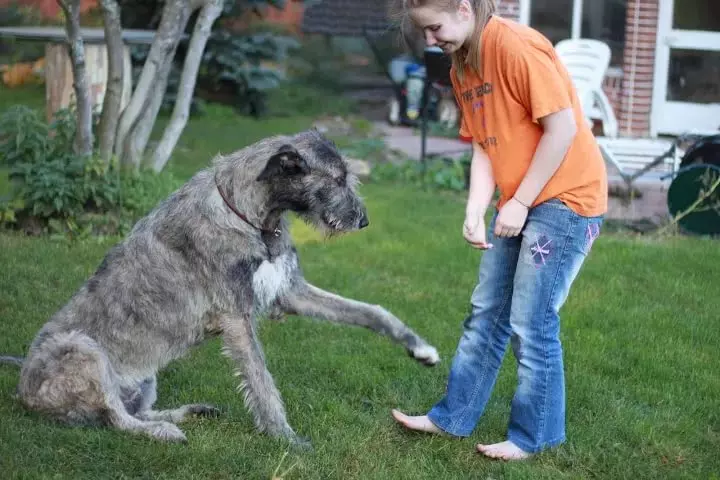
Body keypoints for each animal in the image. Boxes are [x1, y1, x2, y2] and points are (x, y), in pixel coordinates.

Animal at [0, 128, 442, 446]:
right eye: (336, 179)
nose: (364, 221)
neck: (252, 216)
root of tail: (22, 386)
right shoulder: (236, 317)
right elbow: (262, 381)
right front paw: (285, 438)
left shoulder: (289, 290)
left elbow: (371, 311)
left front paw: (418, 347)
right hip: (82, 349)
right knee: (116, 420)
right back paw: (163, 432)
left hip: (145, 377)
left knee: (130, 412)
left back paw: (188, 413)